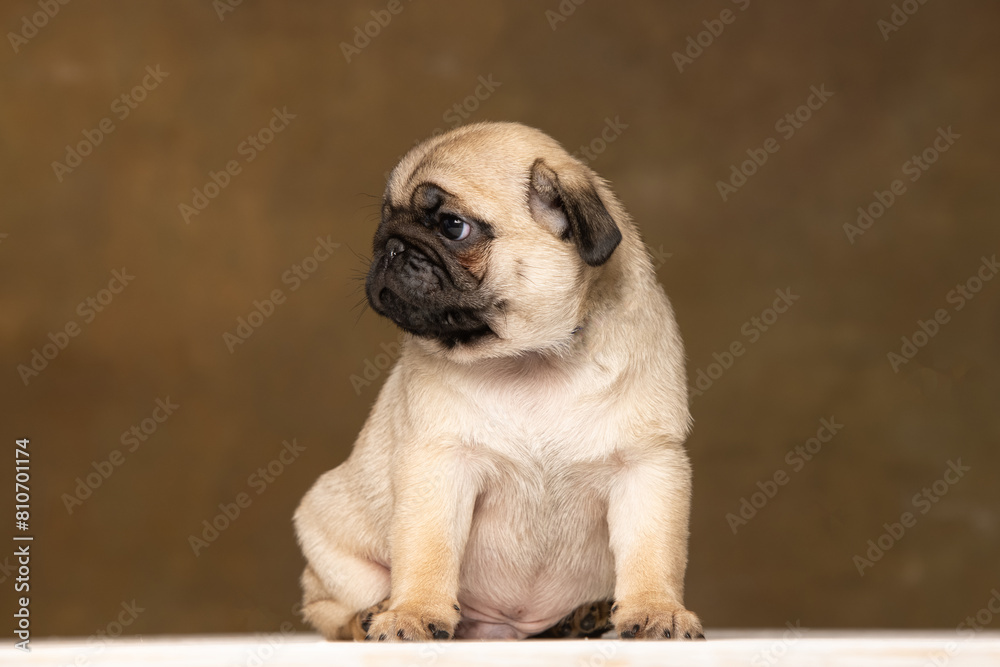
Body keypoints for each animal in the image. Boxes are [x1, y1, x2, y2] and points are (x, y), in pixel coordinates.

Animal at [294, 121, 704, 640]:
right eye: (384, 220)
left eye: (453, 227)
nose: (390, 246)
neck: (530, 358)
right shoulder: (439, 465)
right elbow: (427, 551)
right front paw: (414, 612)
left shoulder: (647, 466)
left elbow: (653, 553)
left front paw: (655, 609)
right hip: (333, 545)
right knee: (331, 611)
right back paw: (369, 616)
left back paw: (581, 617)